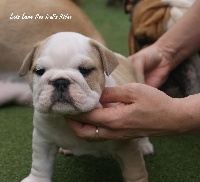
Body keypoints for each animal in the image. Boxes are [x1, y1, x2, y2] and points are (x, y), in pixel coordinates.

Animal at [19, 32, 153, 182]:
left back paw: (144, 146)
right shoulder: (43, 140)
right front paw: (37, 179)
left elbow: (134, 171)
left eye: (85, 70)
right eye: (39, 71)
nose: (60, 81)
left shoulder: (127, 147)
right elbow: (40, 164)